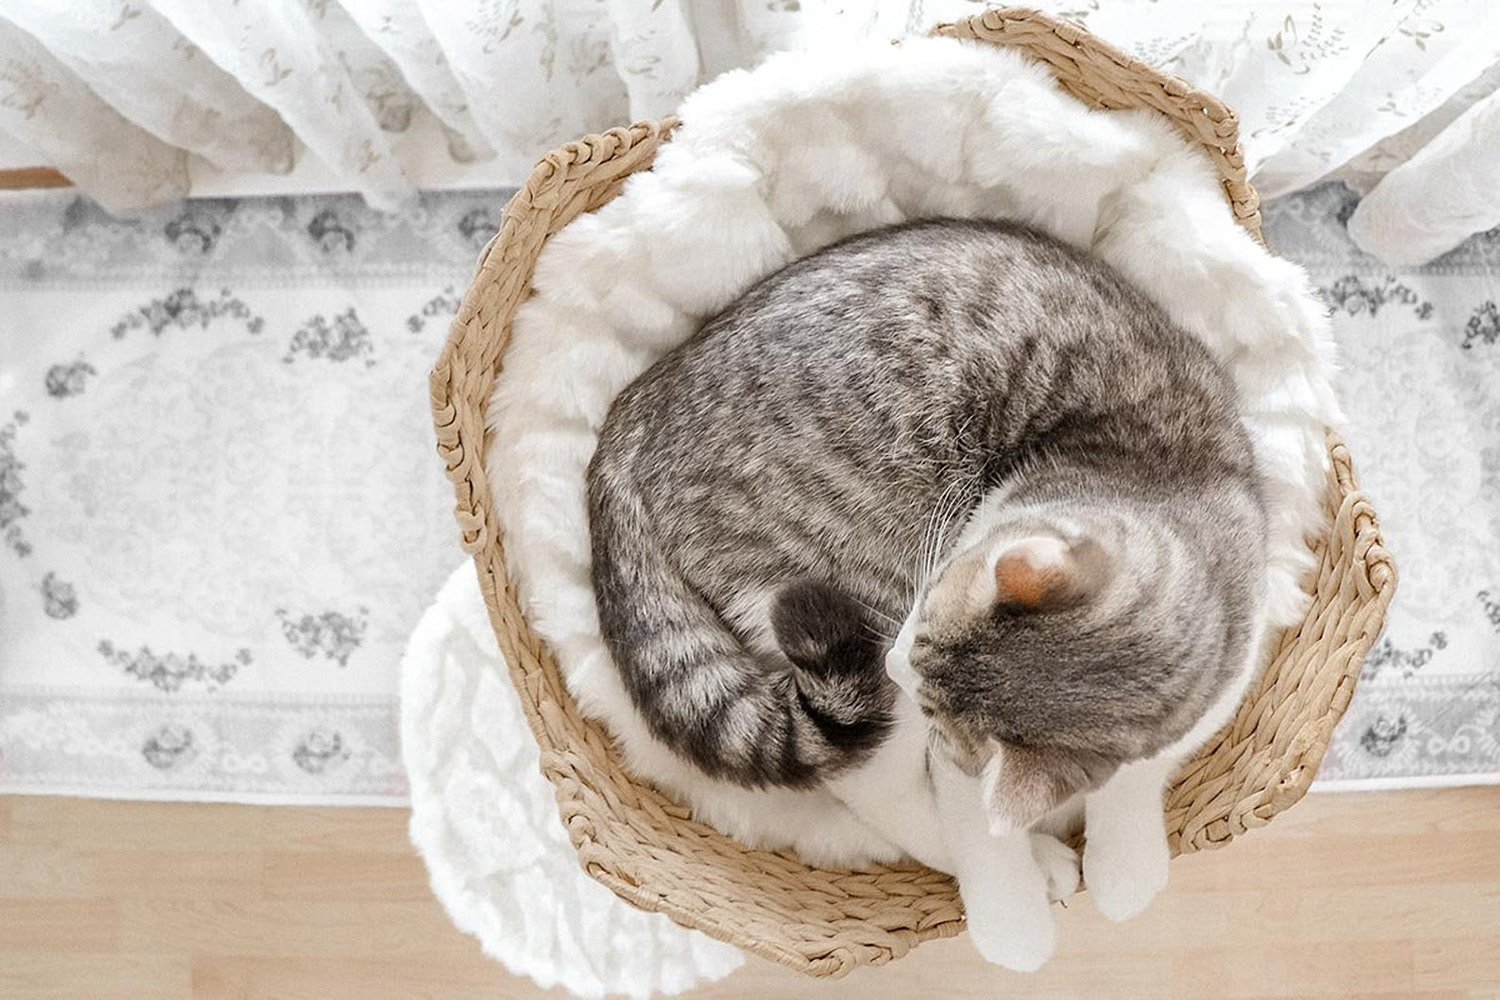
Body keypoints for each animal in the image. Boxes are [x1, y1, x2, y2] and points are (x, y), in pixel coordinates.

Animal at [585, 218, 1266, 971]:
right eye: (938, 586)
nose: (897, 662)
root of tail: (637, 407)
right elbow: (977, 837)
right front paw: (1013, 925)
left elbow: (1138, 775)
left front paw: (1126, 866)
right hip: (848, 584)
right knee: (861, 775)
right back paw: (1041, 865)